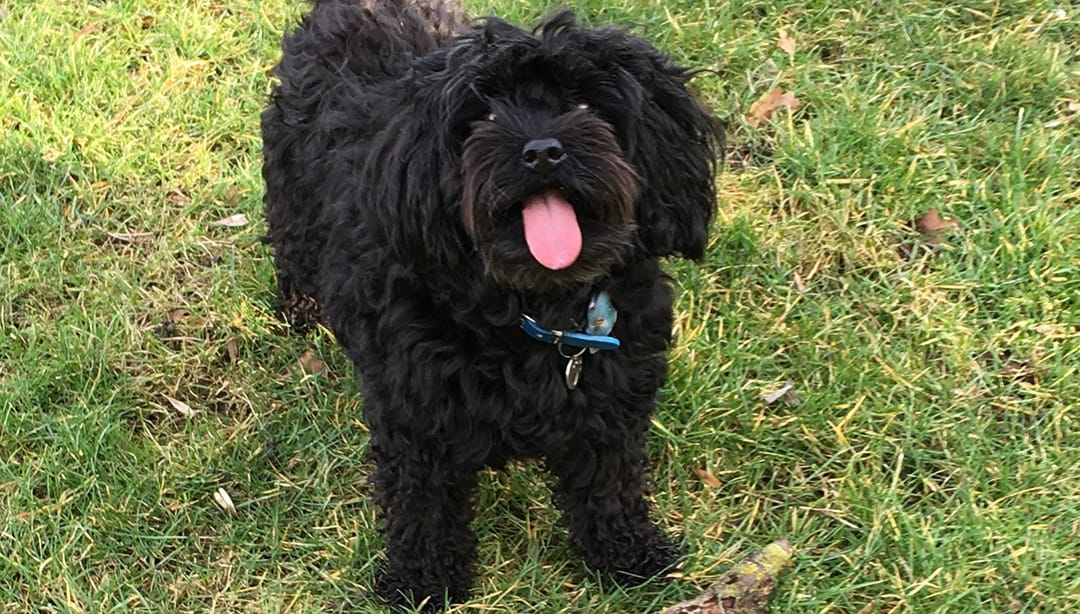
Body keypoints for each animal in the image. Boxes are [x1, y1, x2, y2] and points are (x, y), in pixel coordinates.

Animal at [261, 0, 721, 608]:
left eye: (585, 104)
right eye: (485, 115)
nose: (543, 151)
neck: (535, 310)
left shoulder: (613, 401)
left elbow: (611, 483)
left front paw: (626, 552)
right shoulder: (418, 417)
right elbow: (424, 506)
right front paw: (422, 583)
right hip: (288, 185)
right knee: (290, 242)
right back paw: (300, 308)